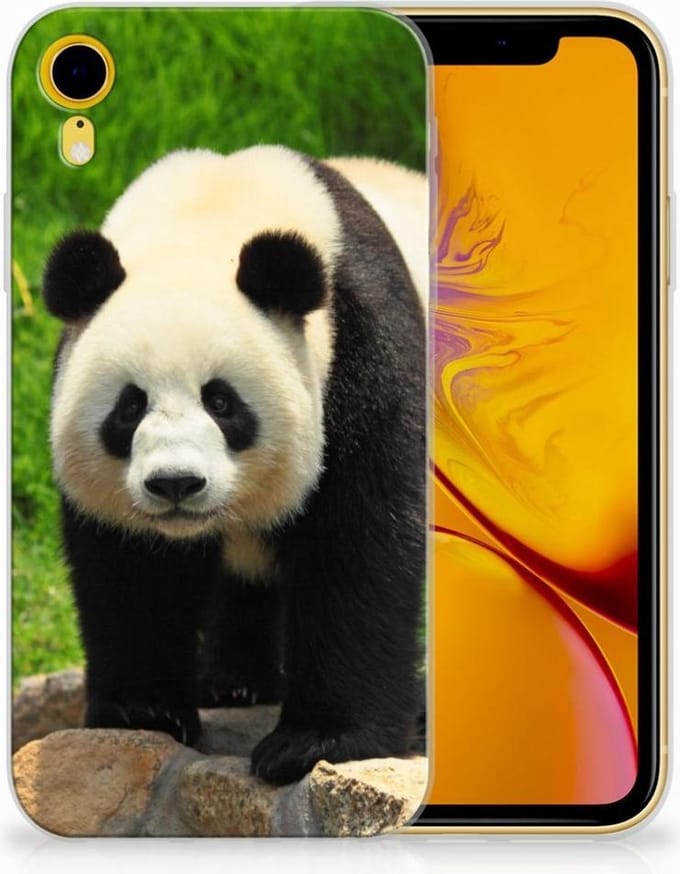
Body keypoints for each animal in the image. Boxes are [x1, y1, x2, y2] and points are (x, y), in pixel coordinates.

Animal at [43, 146, 427, 784]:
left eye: (221, 402)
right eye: (130, 406)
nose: (175, 483)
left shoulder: (363, 353)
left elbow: (361, 546)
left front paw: (315, 742)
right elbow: (131, 568)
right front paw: (144, 710)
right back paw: (234, 682)